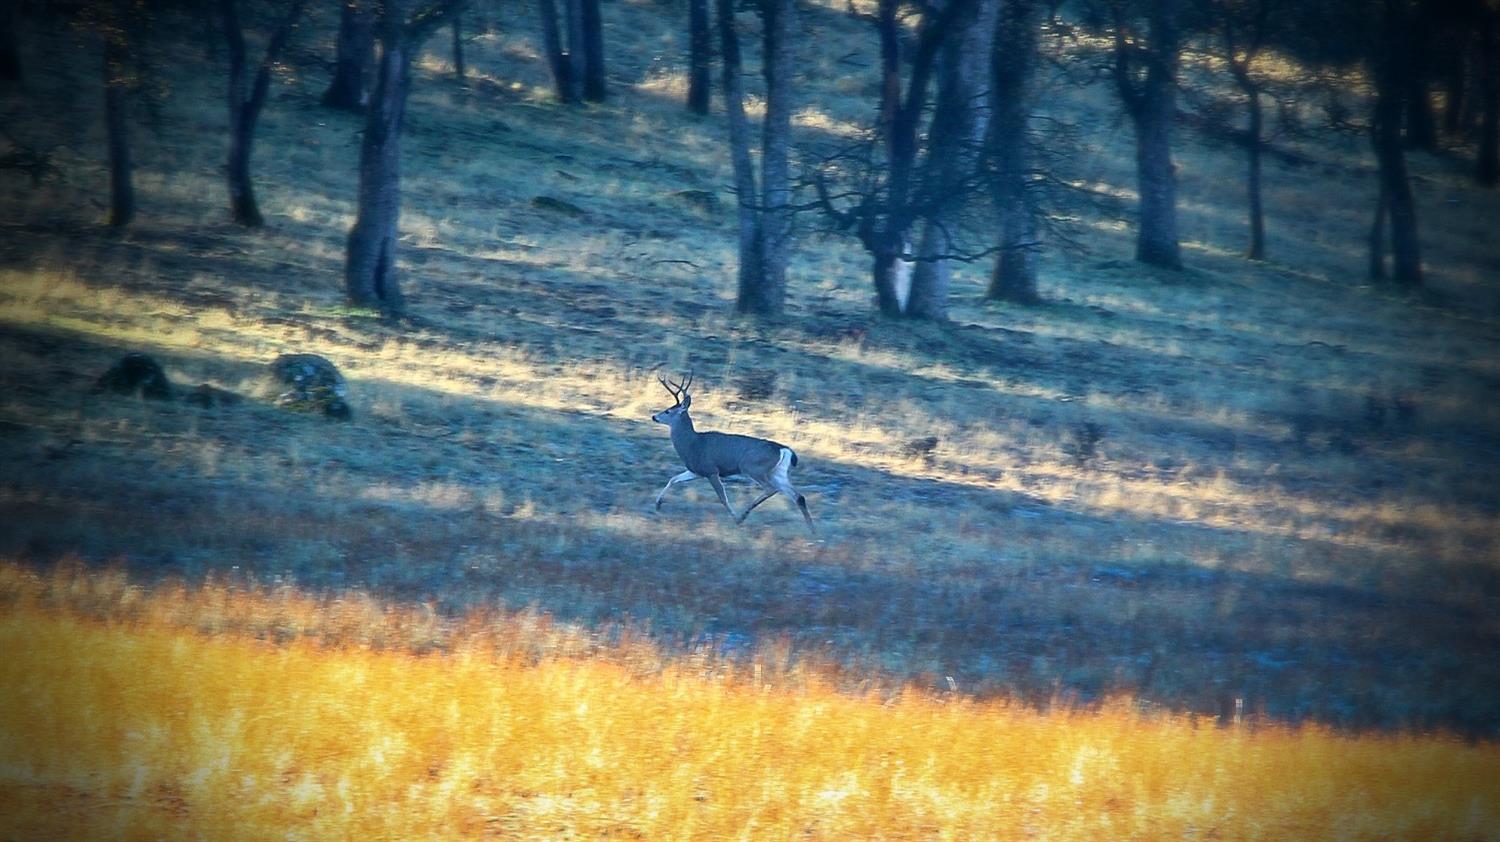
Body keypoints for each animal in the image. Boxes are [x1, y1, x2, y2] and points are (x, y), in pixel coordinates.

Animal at [651, 372, 816, 531]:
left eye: (668, 411)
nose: (654, 416)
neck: (692, 444)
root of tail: (785, 450)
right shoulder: (696, 471)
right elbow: (673, 479)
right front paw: (658, 504)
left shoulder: (711, 470)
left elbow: (722, 497)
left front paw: (735, 518)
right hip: (777, 472)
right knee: (797, 496)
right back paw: (812, 529)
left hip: (753, 467)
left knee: (771, 488)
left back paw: (743, 515)